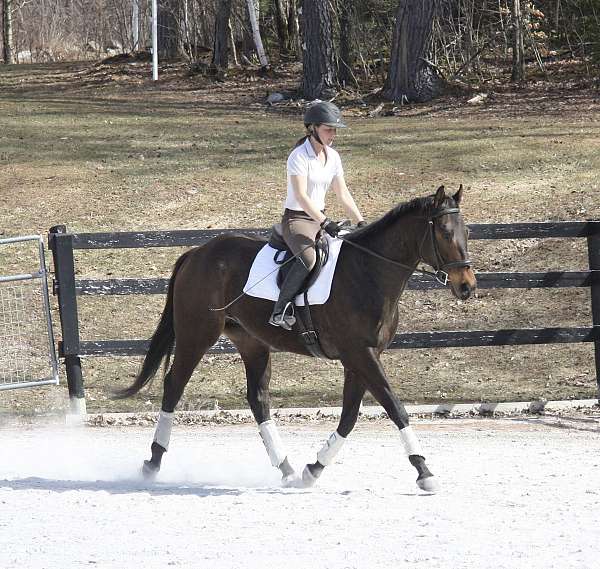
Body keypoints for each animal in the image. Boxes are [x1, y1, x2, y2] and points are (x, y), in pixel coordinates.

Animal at [116, 186, 474, 492]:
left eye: (467, 232)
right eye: (444, 233)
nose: (467, 286)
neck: (369, 272)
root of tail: (197, 252)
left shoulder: (360, 358)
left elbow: (349, 416)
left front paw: (312, 469)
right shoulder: (360, 354)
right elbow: (395, 407)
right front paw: (424, 471)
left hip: (252, 343)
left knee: (258, 399)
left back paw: (286, 469)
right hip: (196, 334)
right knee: (174, 385)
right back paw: (152, 462)